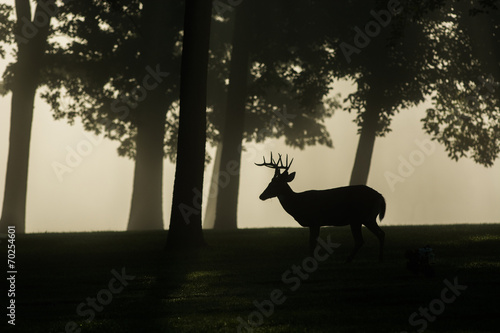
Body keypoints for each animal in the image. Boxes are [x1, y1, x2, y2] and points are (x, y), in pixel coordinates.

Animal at [256, 152, 384, 262]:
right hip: (367, 218)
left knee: (362, 239)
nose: (261, 196)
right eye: (269, 183)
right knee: (377, 234)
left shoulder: (315, 220)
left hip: (359, 218)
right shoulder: (313, 223)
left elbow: (312, 243)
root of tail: (380, 196)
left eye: (275, 184)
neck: (299, 203)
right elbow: (311, 243)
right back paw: (377, 259)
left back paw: (352, 260)